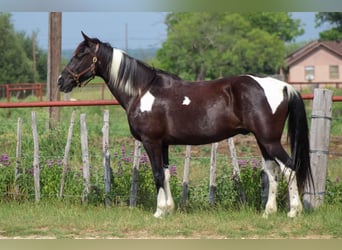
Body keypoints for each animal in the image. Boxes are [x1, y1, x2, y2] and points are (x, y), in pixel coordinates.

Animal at [58, 32, 312, 218]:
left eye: (81, 54)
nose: (62, 81)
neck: (142, 90)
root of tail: (283, 86)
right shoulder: (163, 144)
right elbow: (166, 174)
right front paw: (168, 208)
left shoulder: (151, 142)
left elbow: (157, 174)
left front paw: (159, 212)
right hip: (262, 141)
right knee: (272, 171)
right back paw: (269, 212)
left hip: (269, 140)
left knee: (289, 167)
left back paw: (293, 211)